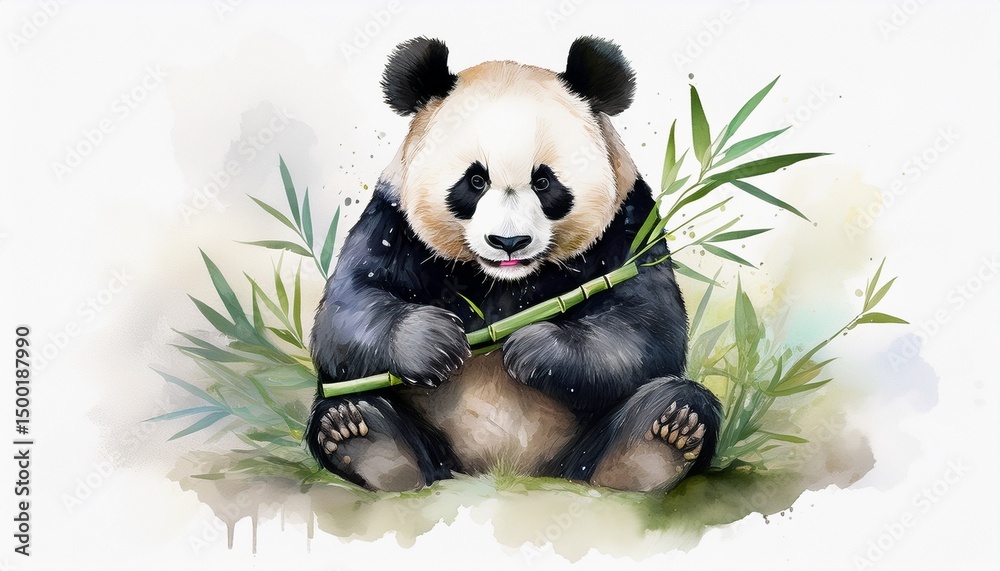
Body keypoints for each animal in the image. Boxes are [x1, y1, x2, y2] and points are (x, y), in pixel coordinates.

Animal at [306, 36, 722, 493]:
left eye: (544, 182)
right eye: (475, 181)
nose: (508, 242)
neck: (504, 280)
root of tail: (506, 470)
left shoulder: (629, 226)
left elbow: (647, 324)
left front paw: (533, 348)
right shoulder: (393, 221)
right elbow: (346, 310)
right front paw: (435, 342)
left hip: (577, 453)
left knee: (677, 400)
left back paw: (655, 445)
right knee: (346, 403)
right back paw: (368, 441)